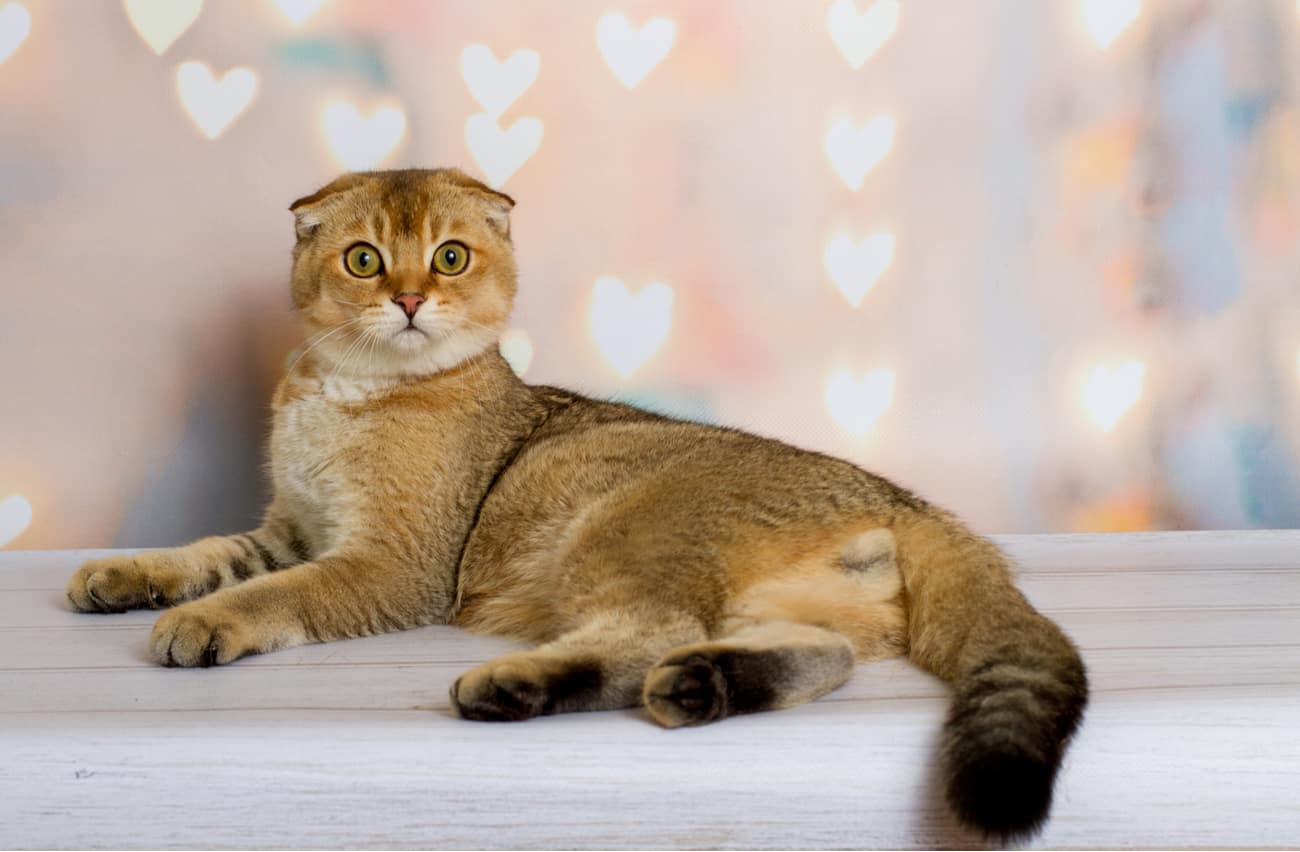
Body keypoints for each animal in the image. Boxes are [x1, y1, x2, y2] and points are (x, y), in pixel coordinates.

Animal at [68, 166, 1086, 837]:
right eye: (363, 259)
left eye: (449, 257)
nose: (408, 299)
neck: (351, 390)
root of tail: (908, 500)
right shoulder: (290, 527)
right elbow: (209, 553)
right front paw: (122, 576)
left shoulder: (390, 566)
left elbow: (277, 594)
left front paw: (205, 622)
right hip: (784, 603)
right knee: (818, 655)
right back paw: (706, 684)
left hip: (621, 528)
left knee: (646, 632)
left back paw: (518, 686)